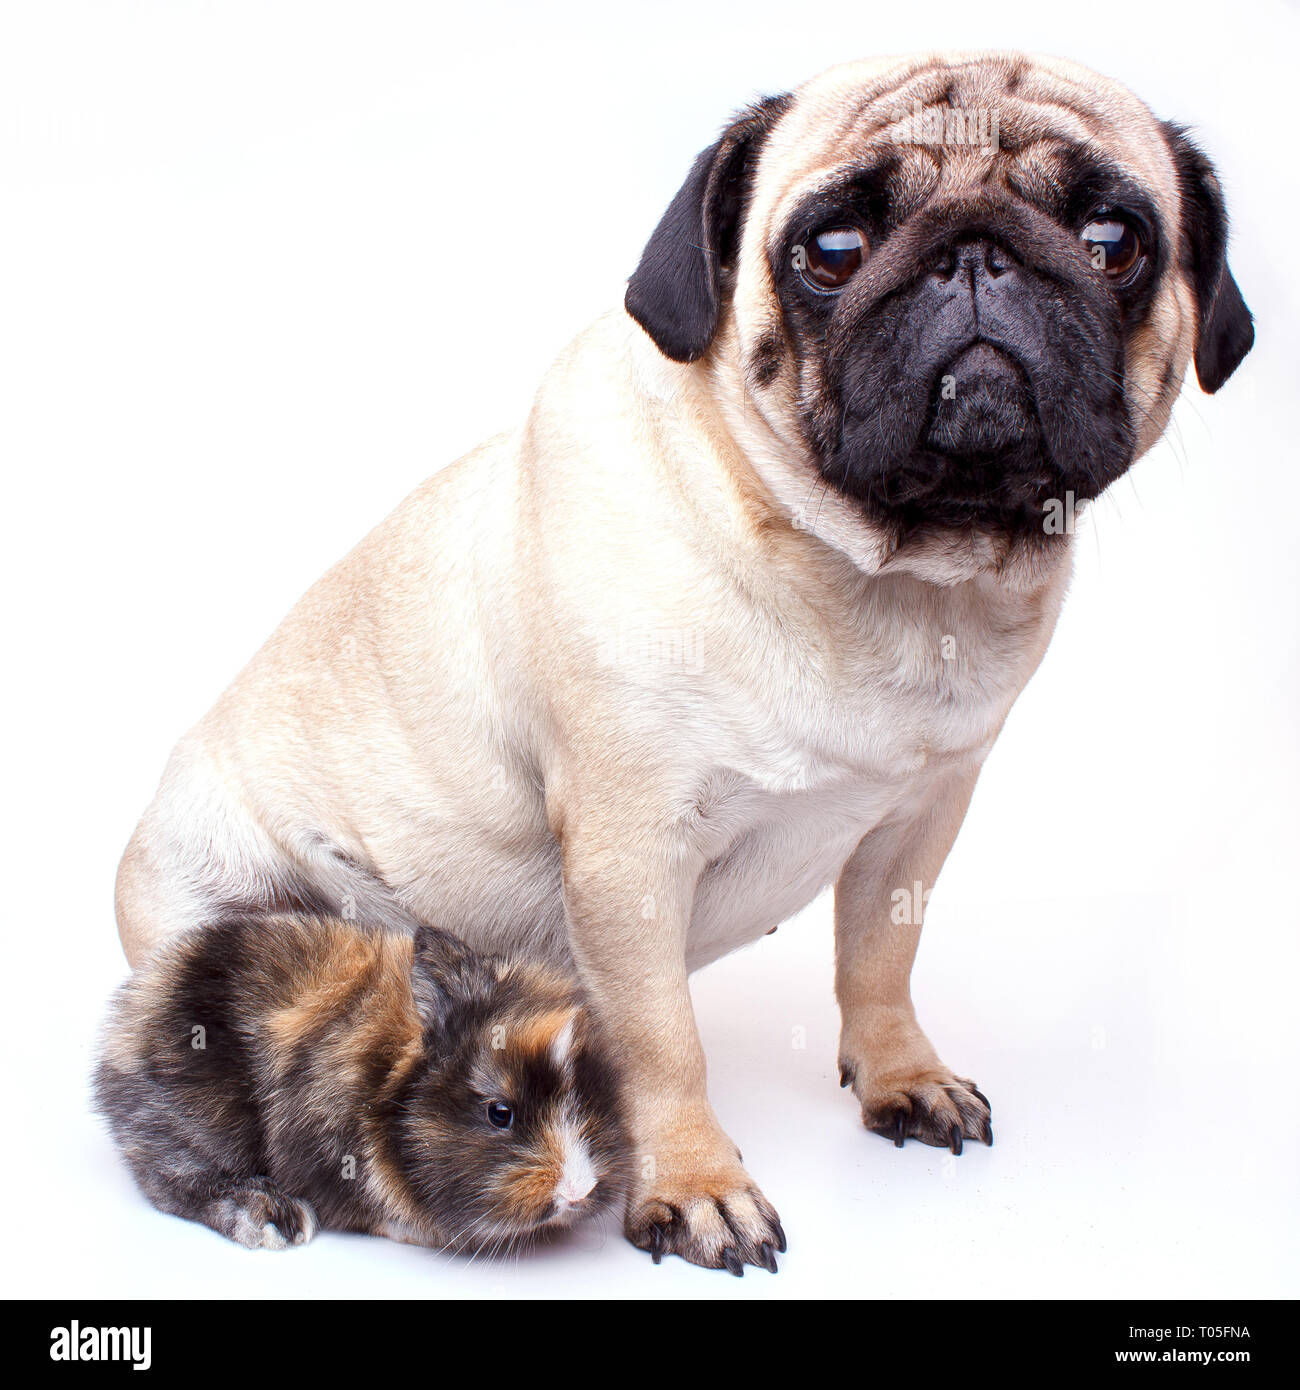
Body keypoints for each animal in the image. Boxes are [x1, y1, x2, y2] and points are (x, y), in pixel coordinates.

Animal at [116, 51, 1256, 1273]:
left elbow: (879, 963)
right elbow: (663, 1044)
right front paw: (695, 1186)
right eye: (832, 249)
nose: (977, 253)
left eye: (1113, 238)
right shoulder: (629, 854)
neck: (876, 577)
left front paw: (901, 1076)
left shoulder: (918, 820)